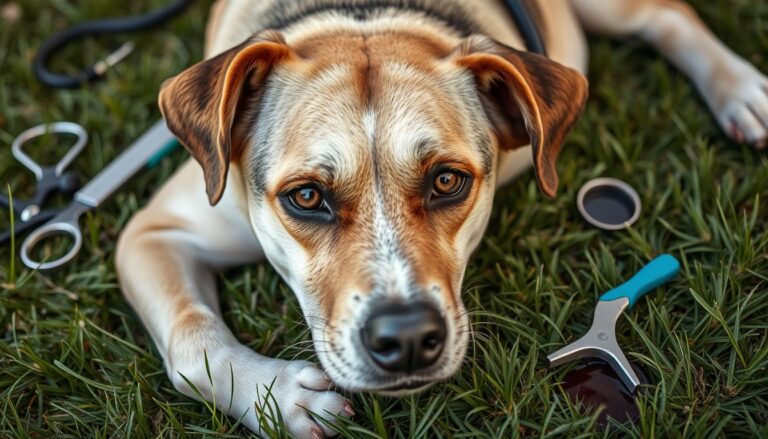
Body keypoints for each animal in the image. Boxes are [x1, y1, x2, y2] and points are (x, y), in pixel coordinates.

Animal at [114, 0, 768, 436]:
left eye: (447, 181)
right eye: (306, 196)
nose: (405, 339)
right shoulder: (153, 232)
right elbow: (191, 339)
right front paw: (282, 399)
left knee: (664, 13)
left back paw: (742, 91)